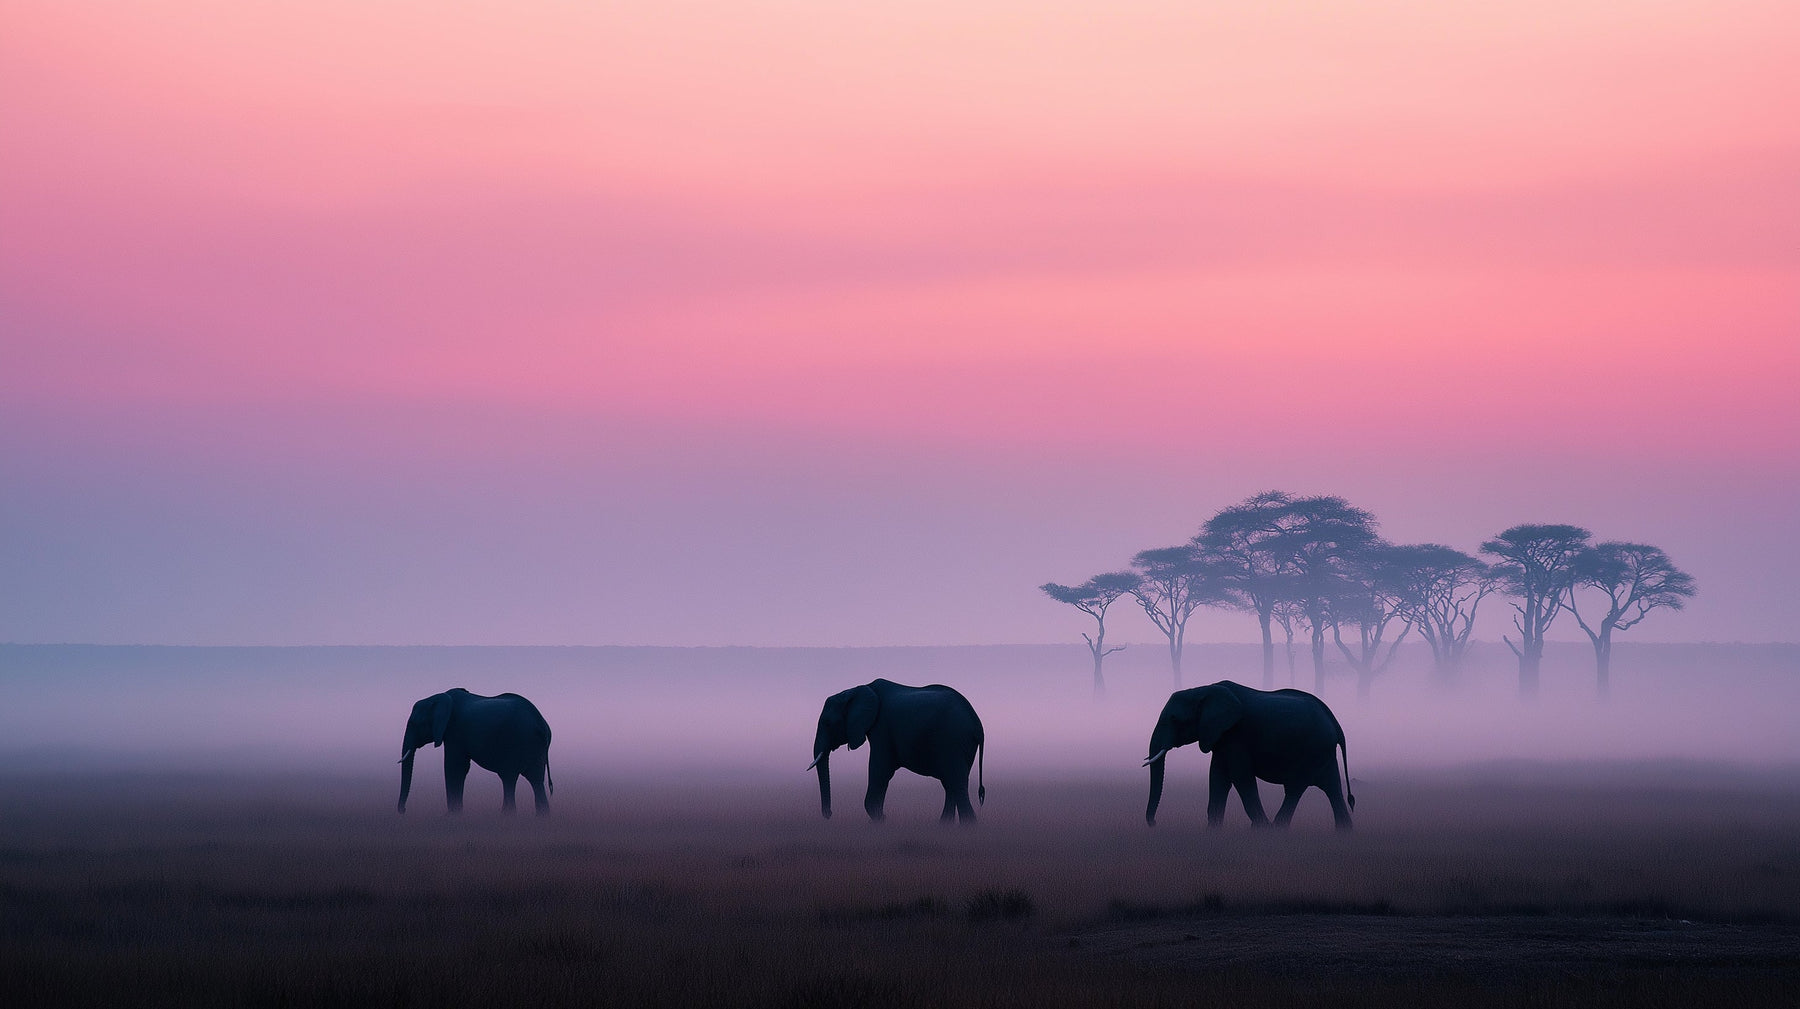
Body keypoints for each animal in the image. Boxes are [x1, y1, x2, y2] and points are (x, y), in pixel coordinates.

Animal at [397, 688, 554, 815]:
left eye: (415, 723)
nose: (403, 810)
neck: (439, 696)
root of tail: (542, 725)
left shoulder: (454, 731)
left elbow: (454, 768)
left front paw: (453, 815)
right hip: (535, 747)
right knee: (536, 780)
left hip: (516, 742)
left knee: (509, 778)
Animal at [808, 679, 985, 824]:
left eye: (828, 723)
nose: (829, 814)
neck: (855, 690)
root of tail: (978, 725)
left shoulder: (881, 727)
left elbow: (880, 769)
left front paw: (881, 819)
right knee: (952, 784)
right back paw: (944, 826)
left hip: (953, 741)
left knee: (956, 783)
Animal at [1142, 680, 1353, 830]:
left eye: (1174, 719)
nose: (1154, 823)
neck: (1203, 690)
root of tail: (1335, 723)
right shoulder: (1221, 737)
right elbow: (1218, 777)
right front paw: (1213, 831)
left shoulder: (1236, 734)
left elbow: (1240, 777)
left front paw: (1260, 830)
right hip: (1323, 752)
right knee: (1333, 789)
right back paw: (1344, 833)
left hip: (1314, 749)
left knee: (1295, 788)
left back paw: (1276, 829)